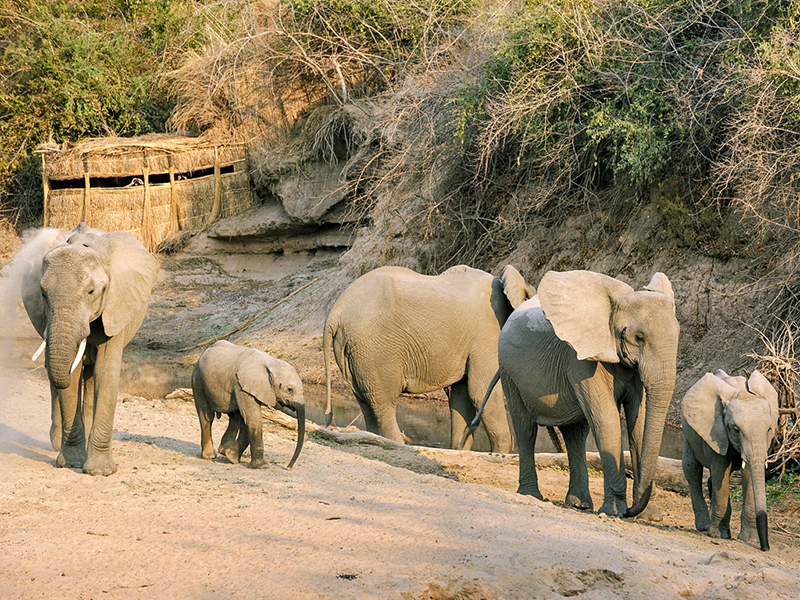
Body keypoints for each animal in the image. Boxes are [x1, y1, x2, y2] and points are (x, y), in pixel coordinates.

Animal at [21, 223, 159, 476]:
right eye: (43, 293)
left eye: (91, 292)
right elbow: (71, 376)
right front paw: (73, 463)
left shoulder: (116, 303)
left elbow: (105, 372)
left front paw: (100, 471)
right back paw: (58, 442)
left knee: (91, 375)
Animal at [192, 340, 304, 472]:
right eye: (290, 390)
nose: (288, 467)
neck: (272, 362)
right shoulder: (242, 386)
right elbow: (253, 418)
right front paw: (262, 466)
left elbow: (248, 419)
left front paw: (232, 458)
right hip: (198, 381)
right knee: (207, 416)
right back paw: (209, 456)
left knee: (235, 418)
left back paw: (223, 451)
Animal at [322, 262, 536, 450]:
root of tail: (334, 315)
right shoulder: (486, 332)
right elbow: (480, 390)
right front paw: (502, 452)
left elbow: (461, 396)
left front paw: (459, 449)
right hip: (374, 348)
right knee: (384, 403)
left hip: (353, 351)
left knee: (365, 402)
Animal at [680, 370, 780, 552]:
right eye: (735, 429)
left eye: (769, 429)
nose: (765, 548)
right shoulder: (715, 431)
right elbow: (720, 473)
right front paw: (718, 535)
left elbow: (748, 473)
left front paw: (749, 539)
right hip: (689, 430)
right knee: (691, 469)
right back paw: (704, 526)